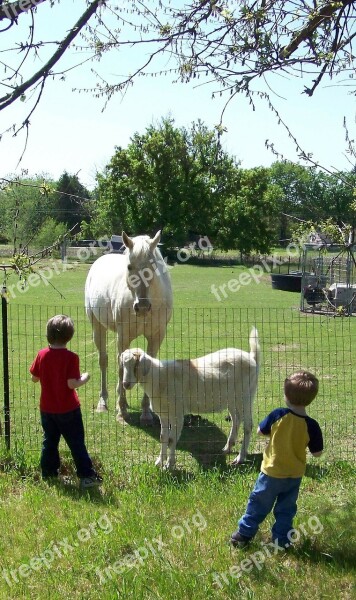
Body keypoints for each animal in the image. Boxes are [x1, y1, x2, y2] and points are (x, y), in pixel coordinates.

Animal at [84, 230, 172, 422]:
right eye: (130, 267)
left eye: (152, 266)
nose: (142, 306)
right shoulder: (123, 336)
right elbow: (118, 367)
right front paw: (122, 412)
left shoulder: (157, 336)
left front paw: (146, 413)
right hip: (97, 327)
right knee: (103, 361)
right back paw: (103, 402)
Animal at [121, 328, 260, 468]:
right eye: (123, 365)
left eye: (136, 365)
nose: (125, 384)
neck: (160, 378)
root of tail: (252, 358)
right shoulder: (163, 414)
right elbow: (163, 437)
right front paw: (159, 462)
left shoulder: (177, 413)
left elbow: (171, 439)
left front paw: (169, 465)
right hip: (232, 399)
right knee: (236, 419)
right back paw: (227, 448)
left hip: (246, 396)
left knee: (248, 425)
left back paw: (240, 458)